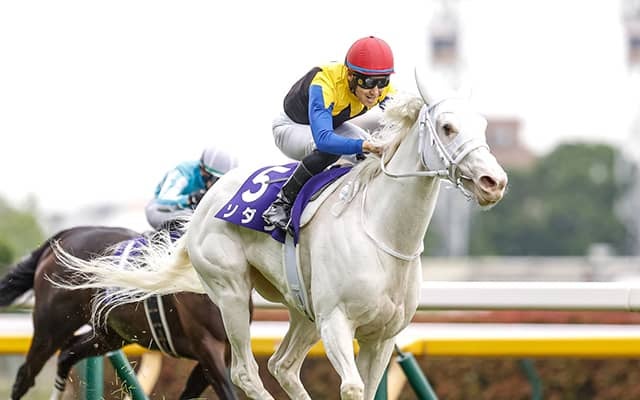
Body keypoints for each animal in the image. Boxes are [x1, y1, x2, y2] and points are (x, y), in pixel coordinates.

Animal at [0, 225, 242, 400]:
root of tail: (66, 235)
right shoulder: (207, 345)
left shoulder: (220, 352)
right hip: (51, 330)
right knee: (25, 376)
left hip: (111, 336)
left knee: (67, 354)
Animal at [52, 68, 508, 400]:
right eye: (447, 127)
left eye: (484, 125)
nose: (494, 182)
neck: (385, 236)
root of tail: (204, 205)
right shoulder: (336, 321)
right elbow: (352, 387)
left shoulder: (383, 337)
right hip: (232, 293)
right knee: (247, 372)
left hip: (302, 308)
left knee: (282, 366)